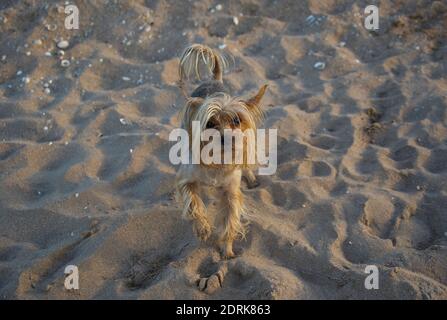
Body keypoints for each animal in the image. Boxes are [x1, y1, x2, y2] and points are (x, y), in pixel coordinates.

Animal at [174, 43, 266, 262]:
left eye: (236, 120)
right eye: (209, 123)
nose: (228, 138)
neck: (217, 159)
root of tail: (215, 79)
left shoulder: (230, 192)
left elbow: (229, 219)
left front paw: (227, 249)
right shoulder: (186, 180)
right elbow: (193, 203)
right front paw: (203, 229)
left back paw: (251, 178)